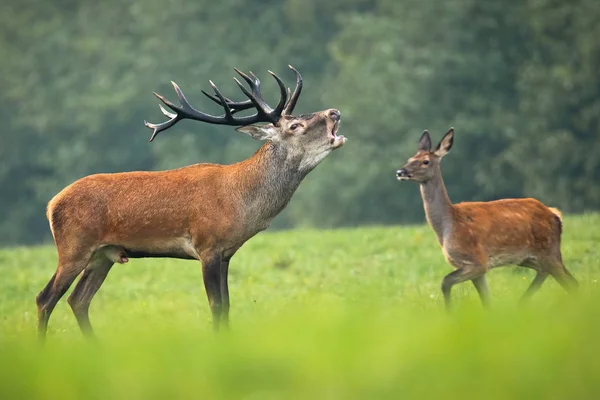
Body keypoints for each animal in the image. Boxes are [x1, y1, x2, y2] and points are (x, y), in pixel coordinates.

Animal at [36, 65, 346, 338]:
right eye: (295, 125)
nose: (335, 112)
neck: (241, 203)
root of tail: (51, 204)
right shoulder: (206, 244)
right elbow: (216, 305)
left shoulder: (226, 252)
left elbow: (227, 306)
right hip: (74, 247)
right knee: (45, 298)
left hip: (103, 255)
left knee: (78, 300)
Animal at [396, 128, 576, 310]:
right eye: (409, 159)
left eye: (425, 161)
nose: (400, 172)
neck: (448, 226)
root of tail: (555, 214)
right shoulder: (476, 268)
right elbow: (486, 300)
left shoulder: (477, 260)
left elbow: (445, 282)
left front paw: (449, 312)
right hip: (530, 258)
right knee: (553, 275)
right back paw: (521, 303)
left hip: (549, 250)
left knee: (570, 282)